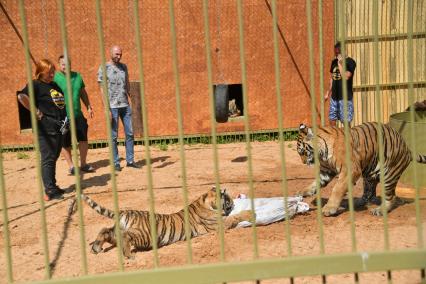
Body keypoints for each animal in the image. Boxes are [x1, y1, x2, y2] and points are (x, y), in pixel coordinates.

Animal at [68, 187, 251, 258]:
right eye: (228, 200)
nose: (233, 204)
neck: (205, 200)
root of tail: (124, 212)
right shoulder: (218, 224)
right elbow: (235, 217)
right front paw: (250, 213)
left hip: (116, 231)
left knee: (104, 230)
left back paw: (95, 248)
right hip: (146, 235)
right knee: (126, 237)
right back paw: (129, 256)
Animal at [296, 121, 426, 216]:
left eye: (302, 152)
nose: (303, 162)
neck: (322, 154)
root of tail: (407, 149)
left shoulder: (350, 169)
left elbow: (337, 189)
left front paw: (329, 208)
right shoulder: (326, 172)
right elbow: (315, 183)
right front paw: (303, 192)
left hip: (389, 175)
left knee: (391, 196)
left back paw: (380, 210)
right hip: (369, 175)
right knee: (369, 193)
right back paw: (357, 202)